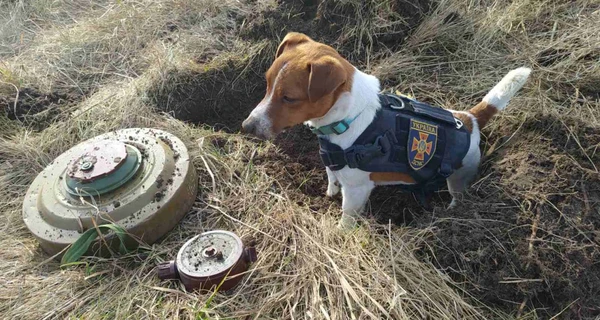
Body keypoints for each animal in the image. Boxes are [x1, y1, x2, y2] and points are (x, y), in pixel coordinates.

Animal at [241, 31, 532, 228]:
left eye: (289, 98)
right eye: (267, 84)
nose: (246, 126)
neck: (349, 117)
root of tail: (470, 119)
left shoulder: (357, 190)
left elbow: (347, 217)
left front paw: (340, 231)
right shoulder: (333, 164)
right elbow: (332, 178)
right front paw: (329, 193)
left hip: (460, 177)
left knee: (458, 195)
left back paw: (450, 212)